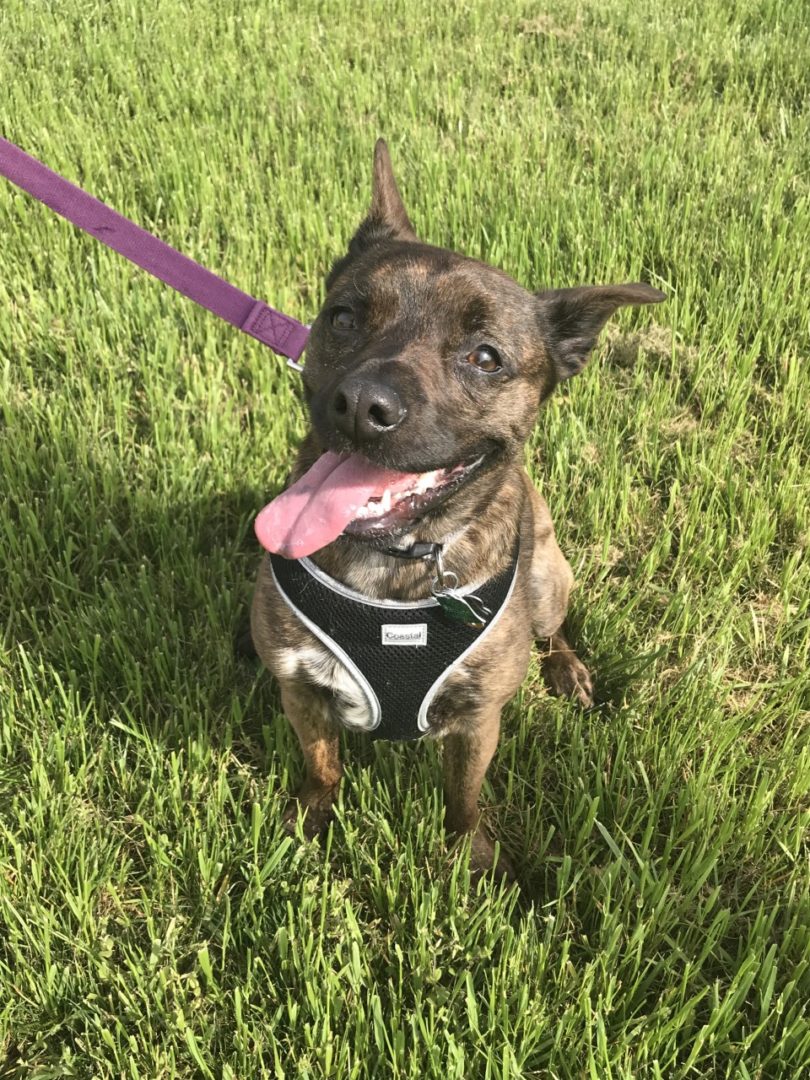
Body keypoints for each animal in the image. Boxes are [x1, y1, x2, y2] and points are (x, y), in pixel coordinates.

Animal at [249, 139, 665, 876]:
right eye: (344, 317)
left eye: (485, 357)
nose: (361, 405)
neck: (393, 565)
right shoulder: (298, 687)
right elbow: (323, 766)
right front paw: (309, 819)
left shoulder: (478, 720)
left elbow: (462, 798)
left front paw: (467, 859)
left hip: (547, 578)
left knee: (553, 629)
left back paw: (567, 669)